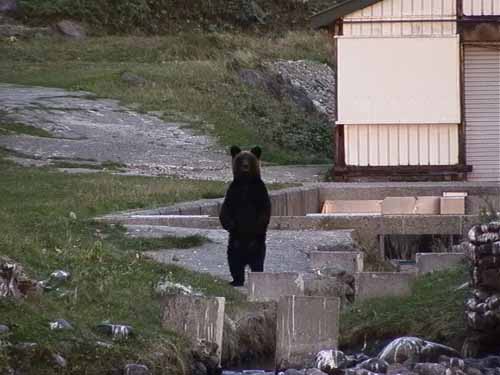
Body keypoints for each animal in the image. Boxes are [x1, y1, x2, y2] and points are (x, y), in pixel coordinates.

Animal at [220, 145, 272, 286]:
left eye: (249, 158)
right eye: (241, 158)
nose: (245, 166)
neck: (246, 182)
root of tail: (246, 258)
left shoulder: (258, 191)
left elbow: (265, 209)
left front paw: (256, 225)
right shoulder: (234, 192)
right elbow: (225, 209)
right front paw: (231, 224)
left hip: (257, 245)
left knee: (258, 263)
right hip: (234, 245)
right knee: (234, 263)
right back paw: (236, 281)